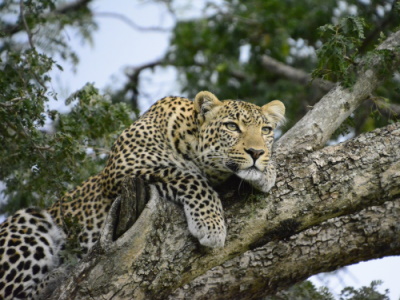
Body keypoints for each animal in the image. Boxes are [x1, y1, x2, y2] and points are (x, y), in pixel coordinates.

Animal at [1, 91, 286, 298]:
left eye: (266, 130)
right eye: (231, 126)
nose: (256, 152)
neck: (187, 137)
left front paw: (267, 170)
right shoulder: (124, 170)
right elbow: (188, 176)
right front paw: (211, 224)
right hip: (29, 221)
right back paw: (56, 276)